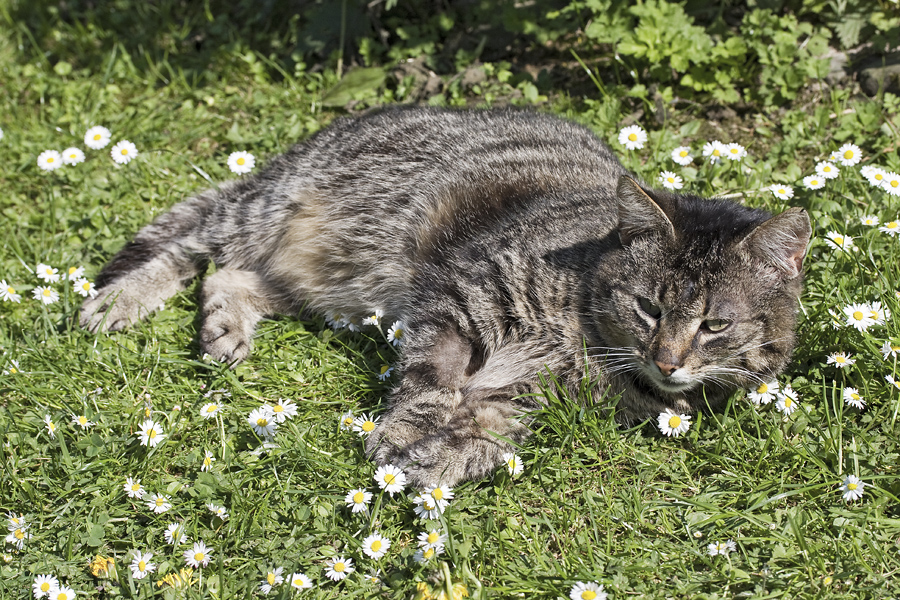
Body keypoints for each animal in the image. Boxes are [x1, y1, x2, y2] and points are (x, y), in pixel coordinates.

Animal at [81, 105, 812, 486]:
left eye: (715, 326)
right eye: (649, 308)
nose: (667, 361)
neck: (585, 332)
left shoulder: (527, 397)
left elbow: (491, 426)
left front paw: (445, 454)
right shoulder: (456, 295)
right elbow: (429, 377)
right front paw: (407, 431)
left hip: (334, 292)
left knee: (231, 275)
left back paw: (225, 328)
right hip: (271, 213)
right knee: (192, 246)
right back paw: (118, 300)